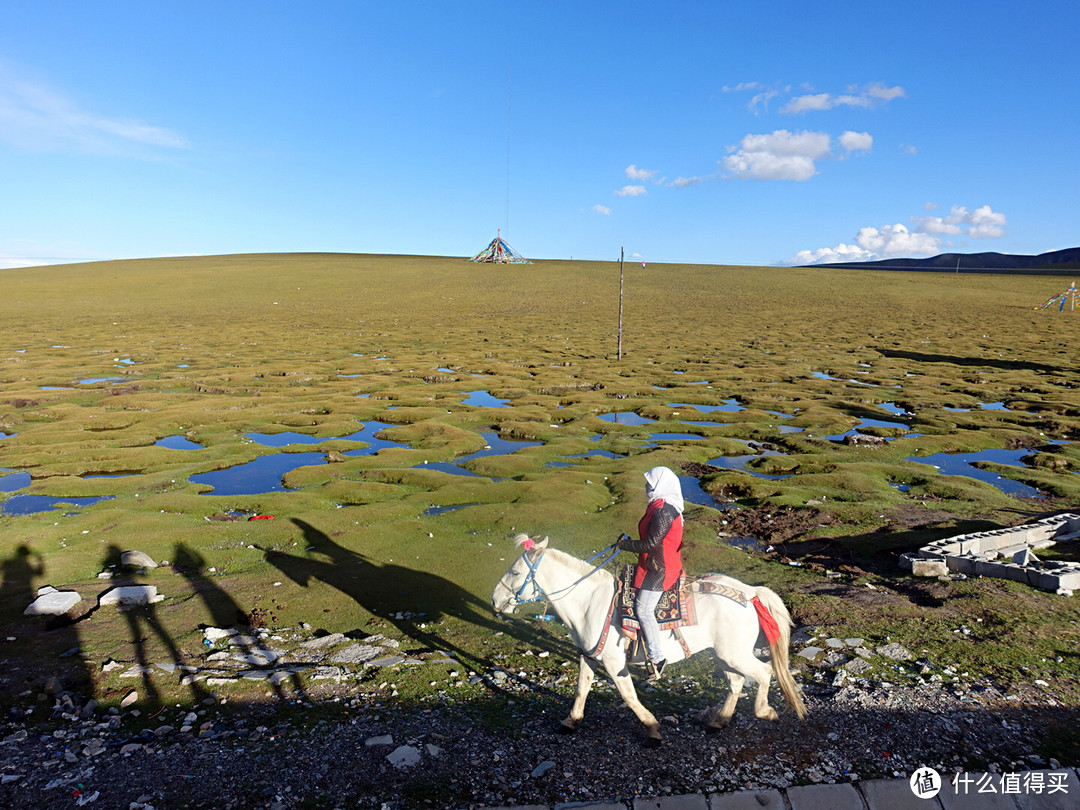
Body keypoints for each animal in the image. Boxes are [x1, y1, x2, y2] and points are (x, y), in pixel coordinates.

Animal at [494, 535, 807, 747]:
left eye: (515, 572)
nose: (495, 600)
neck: (589, 603)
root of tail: (749, 592)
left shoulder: (614, 662)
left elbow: (629, 697)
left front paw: (653, 729)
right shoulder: (589, 656)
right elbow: (582, 689)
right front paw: (570, 722)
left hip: (734, 653)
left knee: (764, 672)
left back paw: (766, 712)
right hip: (724, 654)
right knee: (737, 682)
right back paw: (719, 722)